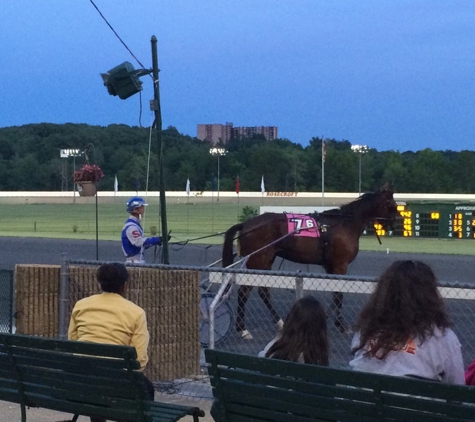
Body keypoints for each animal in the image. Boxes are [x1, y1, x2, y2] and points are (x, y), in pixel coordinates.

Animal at [222, 186, 398, 338]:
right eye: (390, 202)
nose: (398, 219)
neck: (344, 224)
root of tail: (246, 224)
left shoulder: (330, 265)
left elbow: (335, 293)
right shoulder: (340, 264)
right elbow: (339, 293)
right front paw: (341, 325)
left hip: (265, 261)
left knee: (263, 291)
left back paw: (279, 323)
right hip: (257, 260)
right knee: (244, 292)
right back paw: (242, 329)